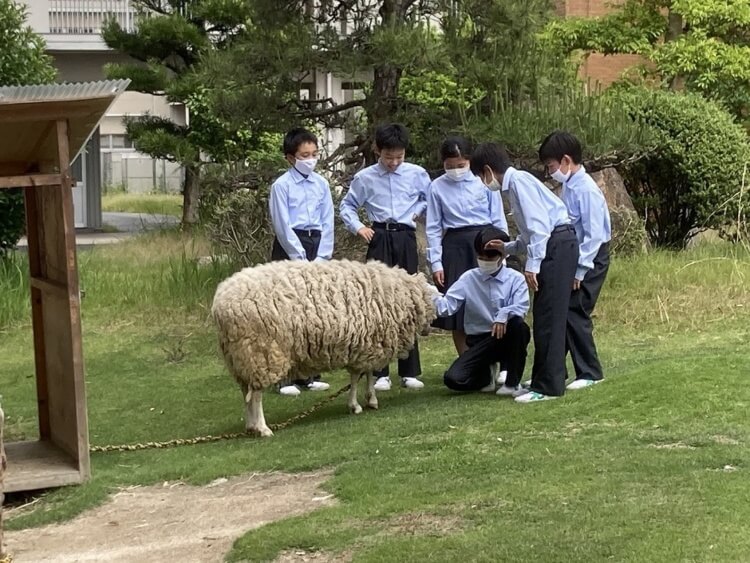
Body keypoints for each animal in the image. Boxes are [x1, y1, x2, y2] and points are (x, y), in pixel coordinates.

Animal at [209, 258, 438, 438]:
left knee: (246, 392)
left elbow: (365, 375)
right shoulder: (365, 346)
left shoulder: (365, 346)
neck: (399, 293)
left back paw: (250, 426)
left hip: (240, 357)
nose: (430, 330)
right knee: (256, 395)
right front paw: (357, 405)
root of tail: (220, 303)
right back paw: (262, 428)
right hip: (261, 353)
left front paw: (368, 399)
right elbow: (358, 377)